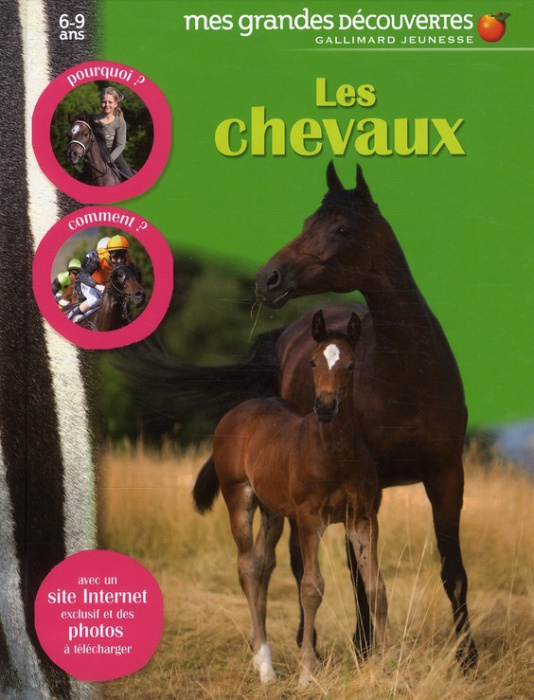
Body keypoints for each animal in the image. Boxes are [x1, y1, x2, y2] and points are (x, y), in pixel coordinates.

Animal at [209, 310, 390, 686]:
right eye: (313, 361)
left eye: (351, 364)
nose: (325, 407)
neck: (335, 452)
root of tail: (238, 412)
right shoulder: (309, 518)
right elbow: (311, 587)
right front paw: (307, 671)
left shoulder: (363, 517)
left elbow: (375, 586)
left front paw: (388, 662)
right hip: (238, 496)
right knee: (247, 566)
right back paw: (266, 665)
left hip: (273, 510)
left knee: (263, 563)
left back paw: (257, 653)